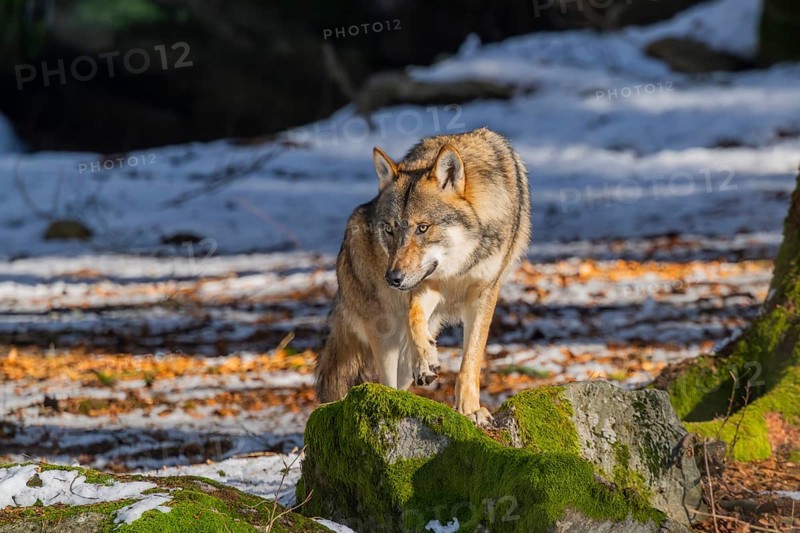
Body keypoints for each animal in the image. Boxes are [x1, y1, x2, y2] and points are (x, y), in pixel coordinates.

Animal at [315, 127, 531, 423]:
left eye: (423, 228)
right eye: (390, 229)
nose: (392, 278)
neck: (457, 267)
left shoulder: (483, 293)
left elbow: (471, 359)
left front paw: (470, 409)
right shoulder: (425, 285)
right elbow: (413, 317)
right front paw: (426, 359)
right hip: (384, 334)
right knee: (386, 380)